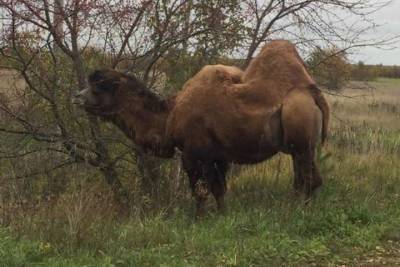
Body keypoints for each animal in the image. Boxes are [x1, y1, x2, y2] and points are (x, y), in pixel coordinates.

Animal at [73, 39, 330, 216]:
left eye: (100, 86)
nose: (76, 97)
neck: (170, 117)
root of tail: (313, 92)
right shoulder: (220, 156)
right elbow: (219, 189)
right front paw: (223, 216)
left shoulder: (193, 153)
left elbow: (200, 191)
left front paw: (198, 220)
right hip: (300, 146)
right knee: (306, 178)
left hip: (300, 131)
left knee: (309, 178)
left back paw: (299, 211)